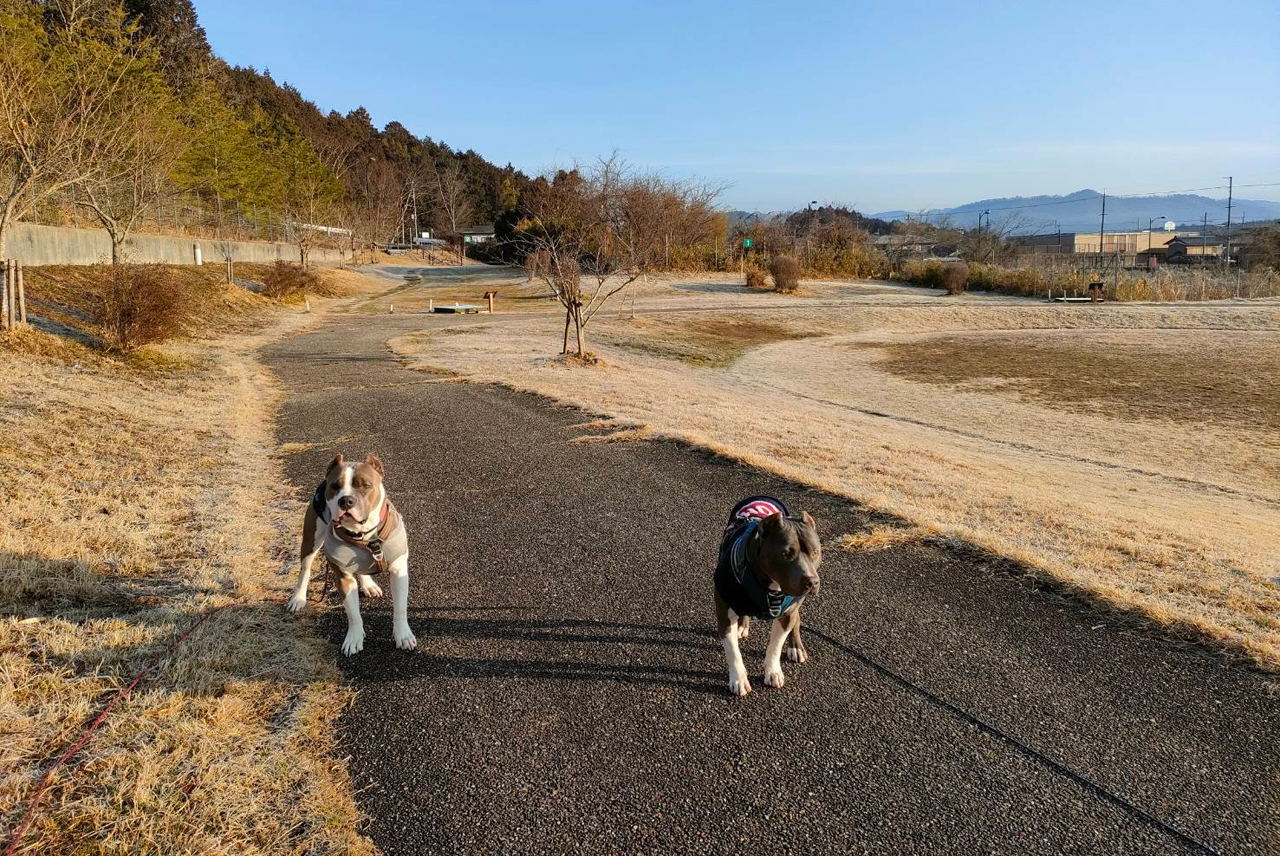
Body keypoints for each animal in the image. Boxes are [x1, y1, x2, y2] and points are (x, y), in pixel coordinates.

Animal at [285, 452, 414, 655]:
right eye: (334, 486)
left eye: (365, 485)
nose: (346, 500)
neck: (364, 536)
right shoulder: (343, 578)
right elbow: (353, 614)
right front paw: (354, 638)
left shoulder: (399, 571)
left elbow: (400, 608)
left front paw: (403, 635)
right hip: (310, 541)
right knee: (304, 570)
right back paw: (298, 598)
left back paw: (368, 585)